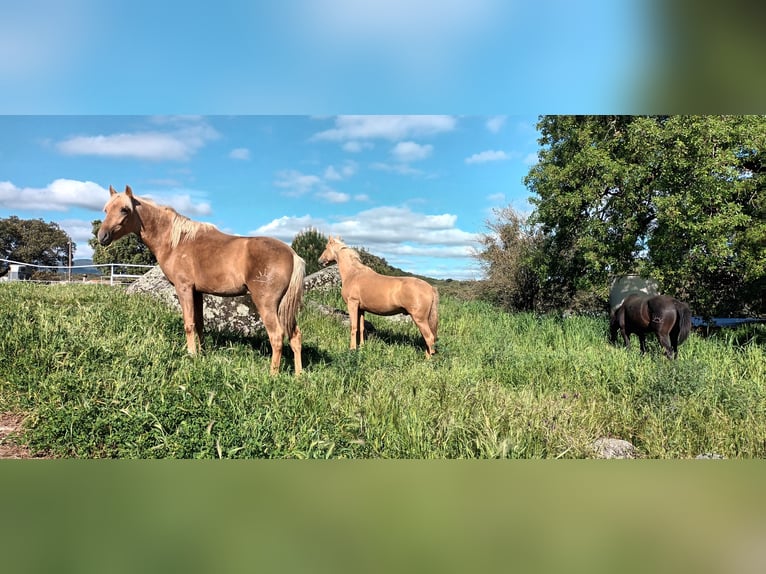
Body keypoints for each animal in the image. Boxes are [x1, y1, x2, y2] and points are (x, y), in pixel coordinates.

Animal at [97, 185, 305, 375]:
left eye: (125, 209)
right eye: (106, 209)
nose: (102, 236)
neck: (176, 241)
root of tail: (292, 254)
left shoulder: (184, 288)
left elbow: (189, 324)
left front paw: (191, 355)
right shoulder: (197, 292)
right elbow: (199, 325)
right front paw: (201, 355)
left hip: (266, 304)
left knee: (276, 336)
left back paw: (272, 375)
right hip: (283, 306)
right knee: (295, 336)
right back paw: (298, 375)